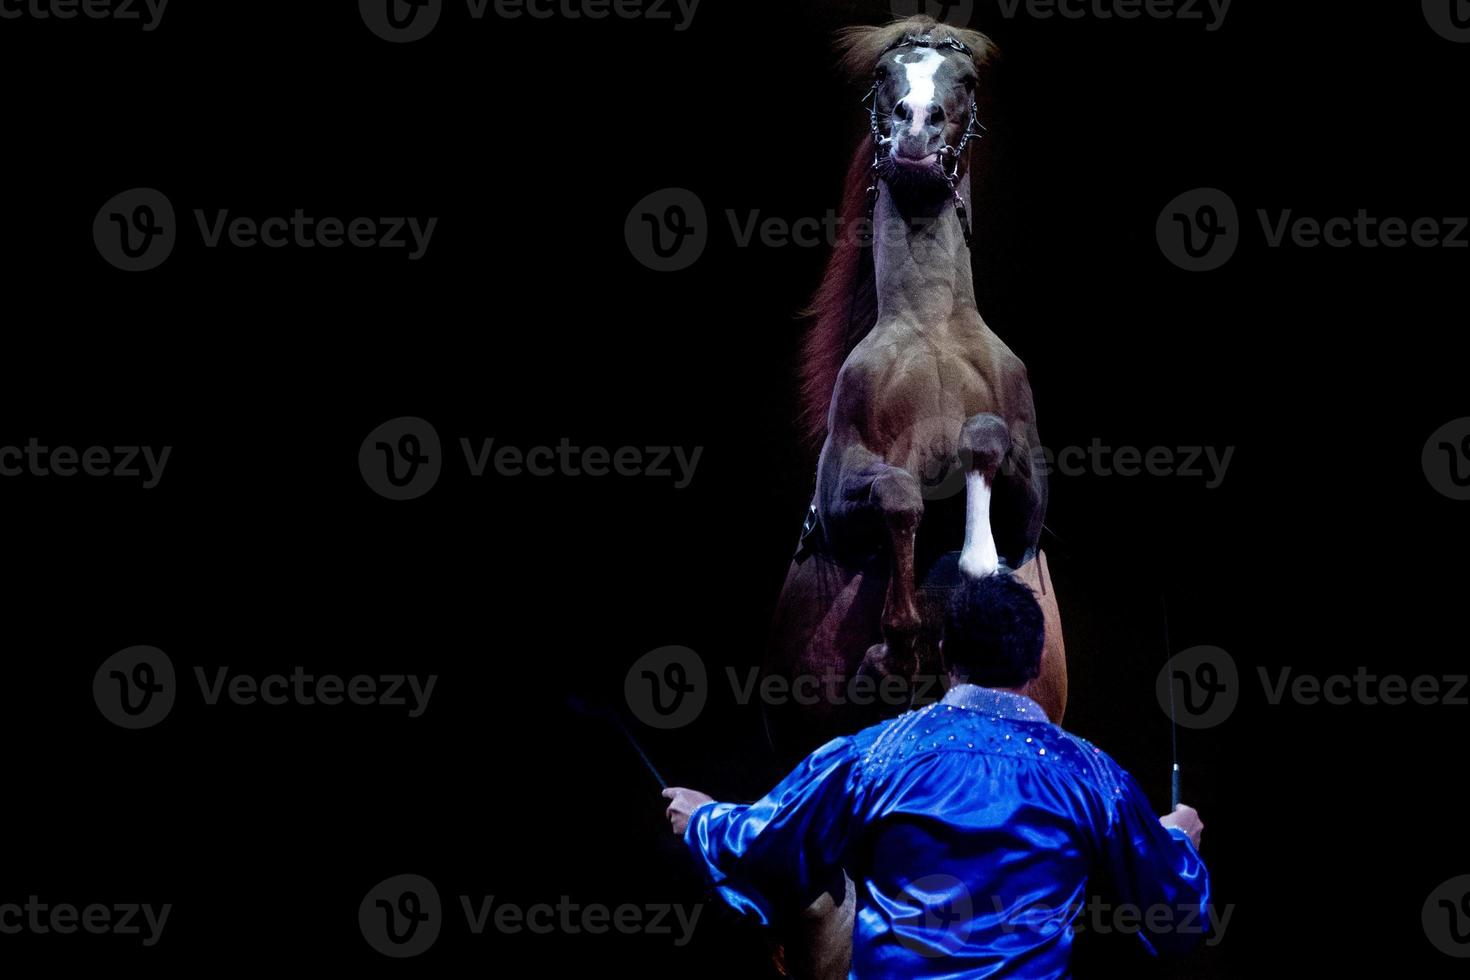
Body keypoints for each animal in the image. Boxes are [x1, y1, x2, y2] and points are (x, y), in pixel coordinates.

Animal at [760, 18, 1069, 975]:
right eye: (886, 83)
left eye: (961, 83)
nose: (918, 139)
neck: (930, 331)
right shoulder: (845, 487)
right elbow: (897, 493)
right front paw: (895, 645)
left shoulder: (1030, 493)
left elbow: (988, 448)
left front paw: (971, 560)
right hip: (817, 890)